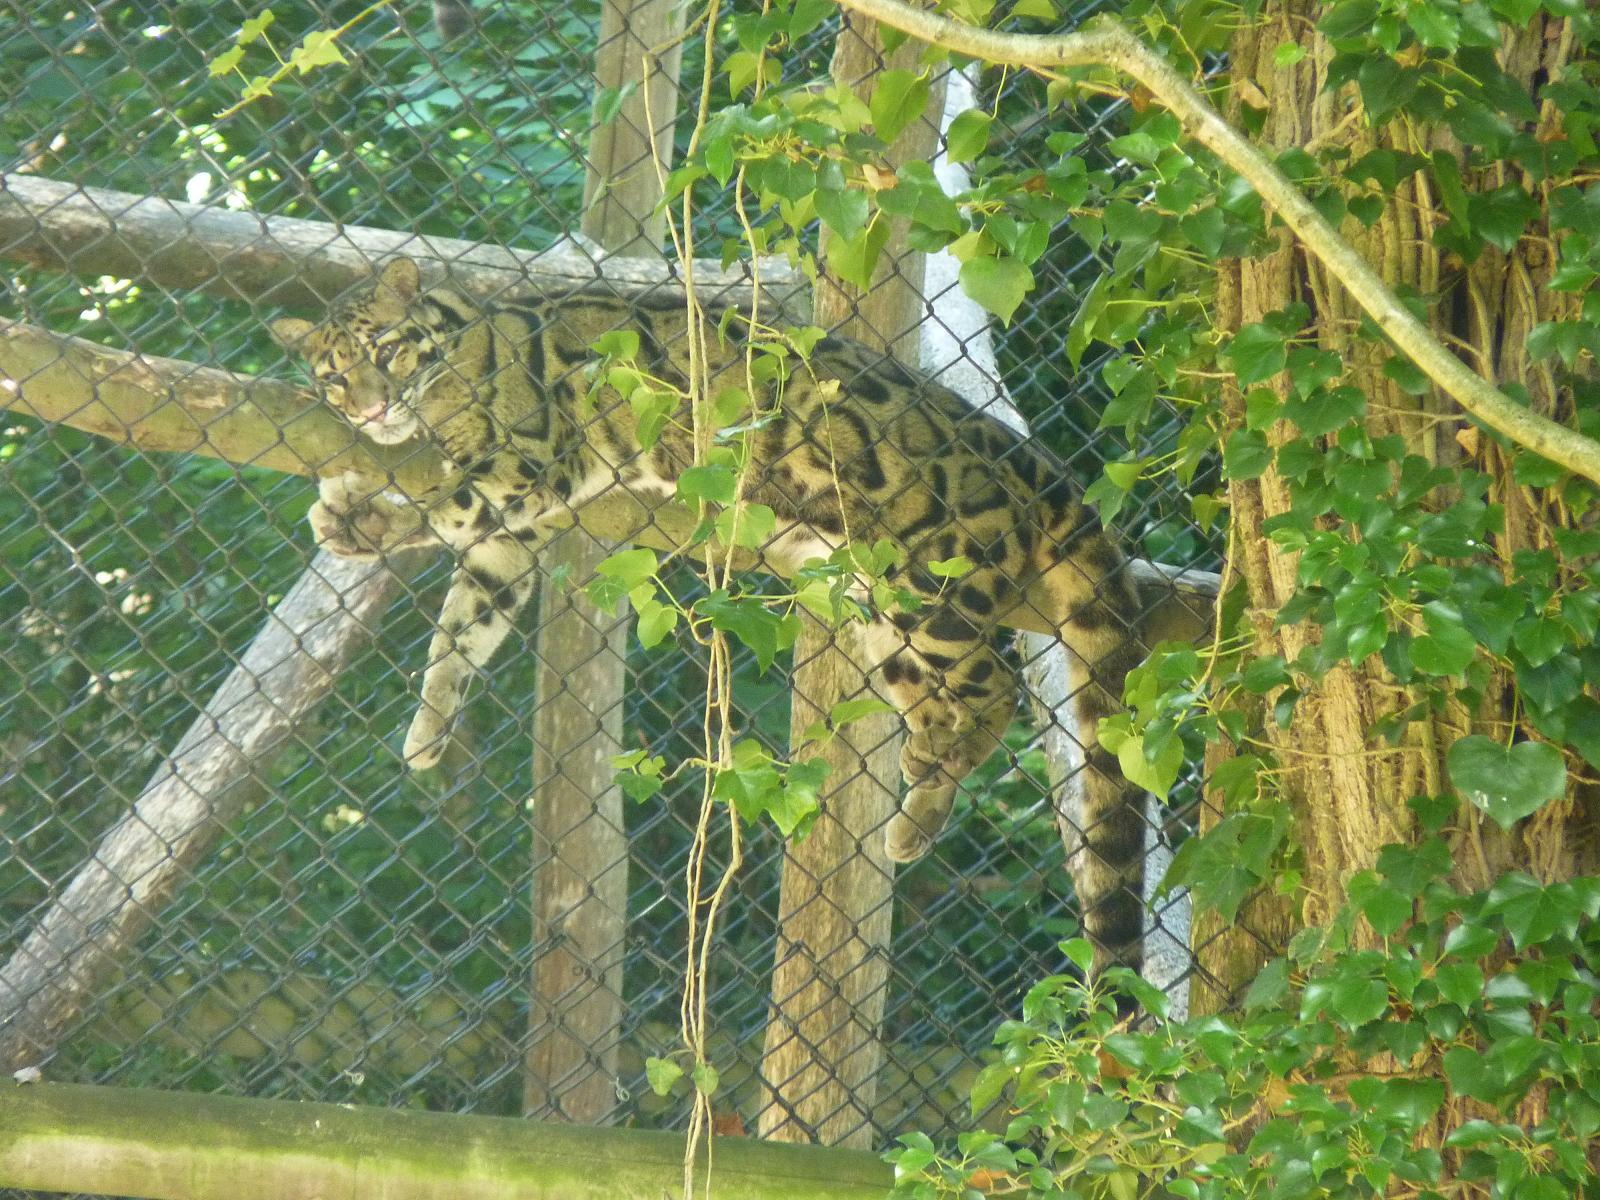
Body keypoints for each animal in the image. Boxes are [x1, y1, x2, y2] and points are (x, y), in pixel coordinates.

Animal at [272, 256, 1151, 967]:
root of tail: (1041, 465)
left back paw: (929, 785)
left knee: (994, 687)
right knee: (943, 699)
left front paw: (366, 513)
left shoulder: (529, 463)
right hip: (873, 603)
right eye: (332, 376)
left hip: (928, 590)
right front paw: (426, 723)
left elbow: (448, 506)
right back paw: (919, 802)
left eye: (385, 350)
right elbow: (462, 627)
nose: (369, 411)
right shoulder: (519, 534)